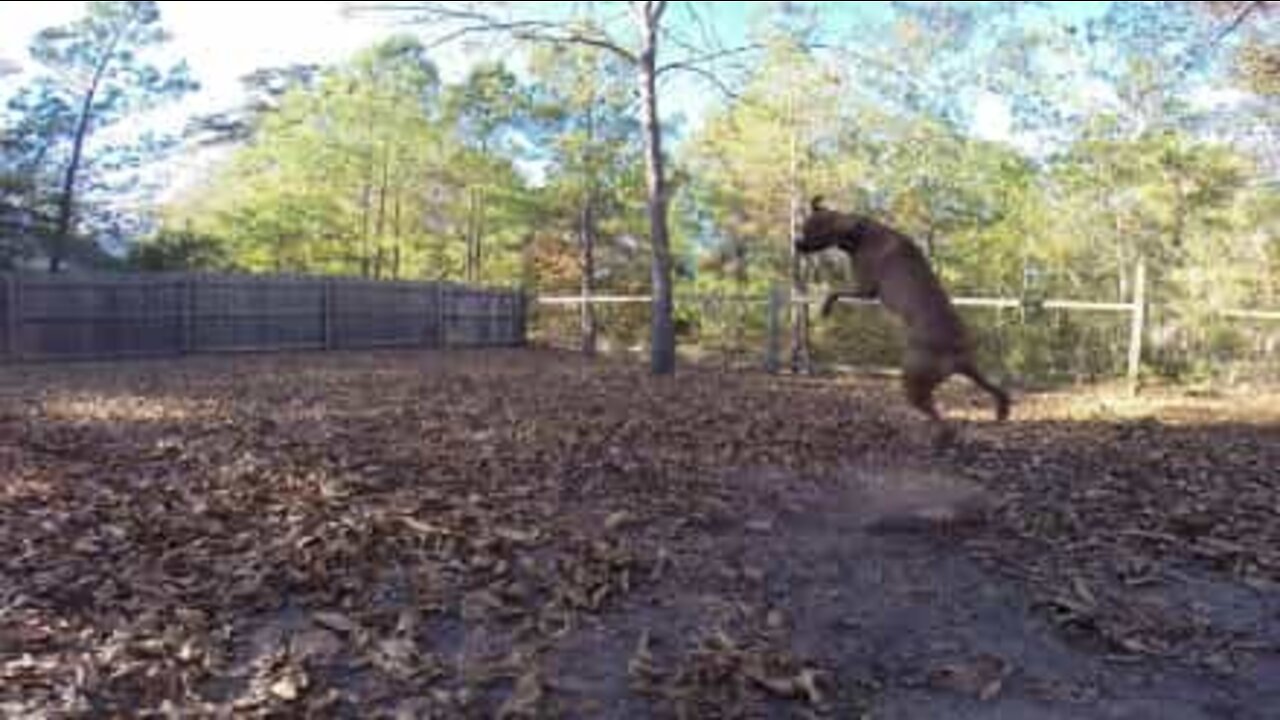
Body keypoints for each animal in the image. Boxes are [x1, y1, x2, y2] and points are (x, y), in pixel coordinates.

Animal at [788, 196, 1008, 425]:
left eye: (811, 229)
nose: (797, 244)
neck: (860, 233)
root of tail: (956, 356)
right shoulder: (865, 289)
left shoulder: (865, 289)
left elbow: (834, 291)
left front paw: (824, 308)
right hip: (965, 371)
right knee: (995, 390)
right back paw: (1001, 410)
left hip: (914, 374)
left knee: (935, 413)